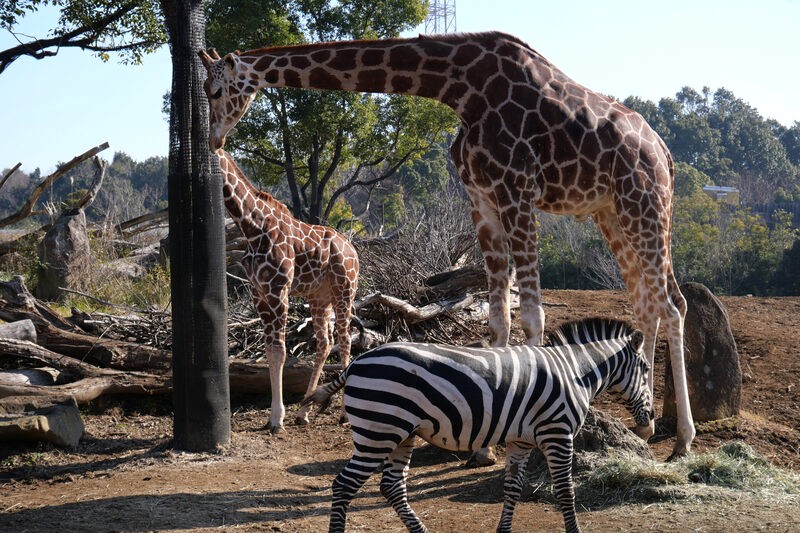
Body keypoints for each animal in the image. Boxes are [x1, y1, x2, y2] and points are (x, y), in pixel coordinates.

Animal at [216, 148, 360, 430]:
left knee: (345, 339)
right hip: (319, 298)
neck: (251, 228)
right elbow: (270, 352)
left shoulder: (278, 290)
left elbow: (280, 351)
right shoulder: (259, 294)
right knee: (325, 343)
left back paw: (344, 415)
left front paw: (276, 418)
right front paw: (277, 416)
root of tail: (354, 251)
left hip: (344, 291)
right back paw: (303, 411)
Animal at [304, 316, 652, 532]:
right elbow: (565, 490)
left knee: (391, 486)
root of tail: (354, 363)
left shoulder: (520, 440)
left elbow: (512, 488)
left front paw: (504, 530)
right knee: (344, 485)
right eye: (647, 369)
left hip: (401, 435)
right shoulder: (558, 433)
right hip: (378, 433)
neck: (575, 372)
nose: (649, 424)